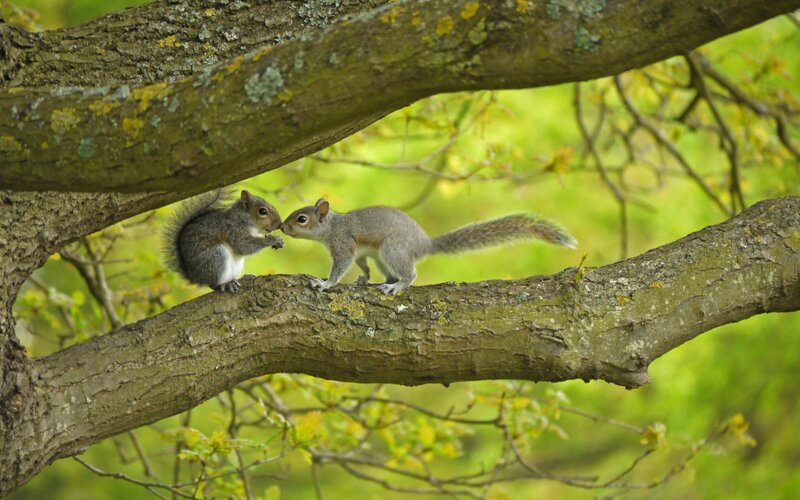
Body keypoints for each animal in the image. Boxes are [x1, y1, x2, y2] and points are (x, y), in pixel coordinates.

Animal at [280, 198, 577, 295]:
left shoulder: (343, 244)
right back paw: (382, 282)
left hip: (392, 250)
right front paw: (362, 278)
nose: (282, 227)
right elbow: (361, 265)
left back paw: (396, 286)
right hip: (382, 257)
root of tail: (424, 244)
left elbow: (339, 267)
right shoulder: (360, 252)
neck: (332, 227)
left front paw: (325, 284)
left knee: (409, 274)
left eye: (301, 219)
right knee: (390, 272)